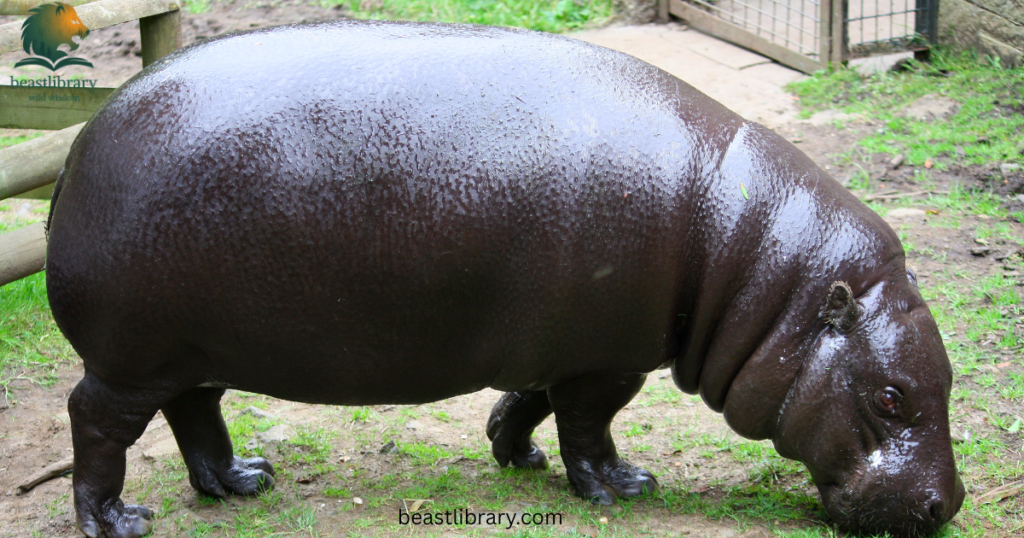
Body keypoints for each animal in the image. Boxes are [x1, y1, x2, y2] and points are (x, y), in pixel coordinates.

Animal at [45, 20, 963, 538]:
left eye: (946, 380)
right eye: (890, 397)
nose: (946, 507)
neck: (754, 266)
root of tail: (81, 143)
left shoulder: (565, 346)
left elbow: (531, 400)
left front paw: (515, 456)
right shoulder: (609, 359)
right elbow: (589, 426)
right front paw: (624, 487)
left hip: (187, 350)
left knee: (195, 411)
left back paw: (243, 483)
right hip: (129, 357)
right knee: (96, 422)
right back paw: (118, 522)